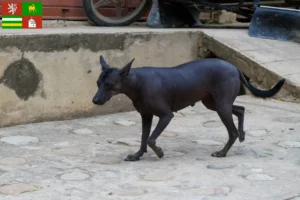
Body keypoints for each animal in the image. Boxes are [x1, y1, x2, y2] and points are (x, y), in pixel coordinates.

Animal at [92, 55, 284, 162]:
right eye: (98, 83)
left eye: (110, 85)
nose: (94, 100)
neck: (136, 82)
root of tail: (234, 67)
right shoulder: (146, 116)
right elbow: (143, 138)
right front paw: (137, 155)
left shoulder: (166, 116)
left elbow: (151, 139)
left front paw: (159, 152)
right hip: (214, 104)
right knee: (241, 109)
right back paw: (243, 134)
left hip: (221, 107)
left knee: (232, 132)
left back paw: (223, 152)